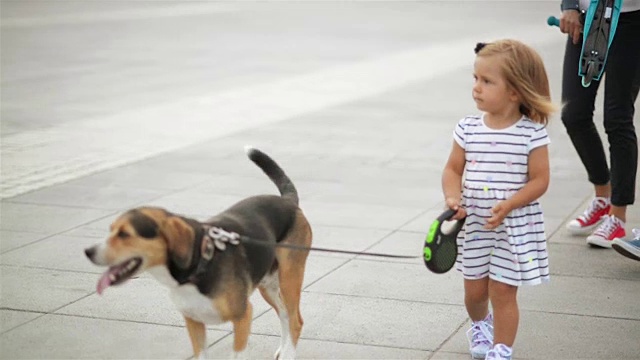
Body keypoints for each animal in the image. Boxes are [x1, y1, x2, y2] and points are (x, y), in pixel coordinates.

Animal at [84, 147, 314, 360]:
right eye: (111, 230)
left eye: (125, 234)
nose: (88, 251)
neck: (201, 263)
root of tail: (289, 202)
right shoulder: (193, 322)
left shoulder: (243, 316)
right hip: (267, 284)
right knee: (285, 315)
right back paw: (283, 349)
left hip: (289, 277)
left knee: (295, 321)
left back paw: (288, 354)